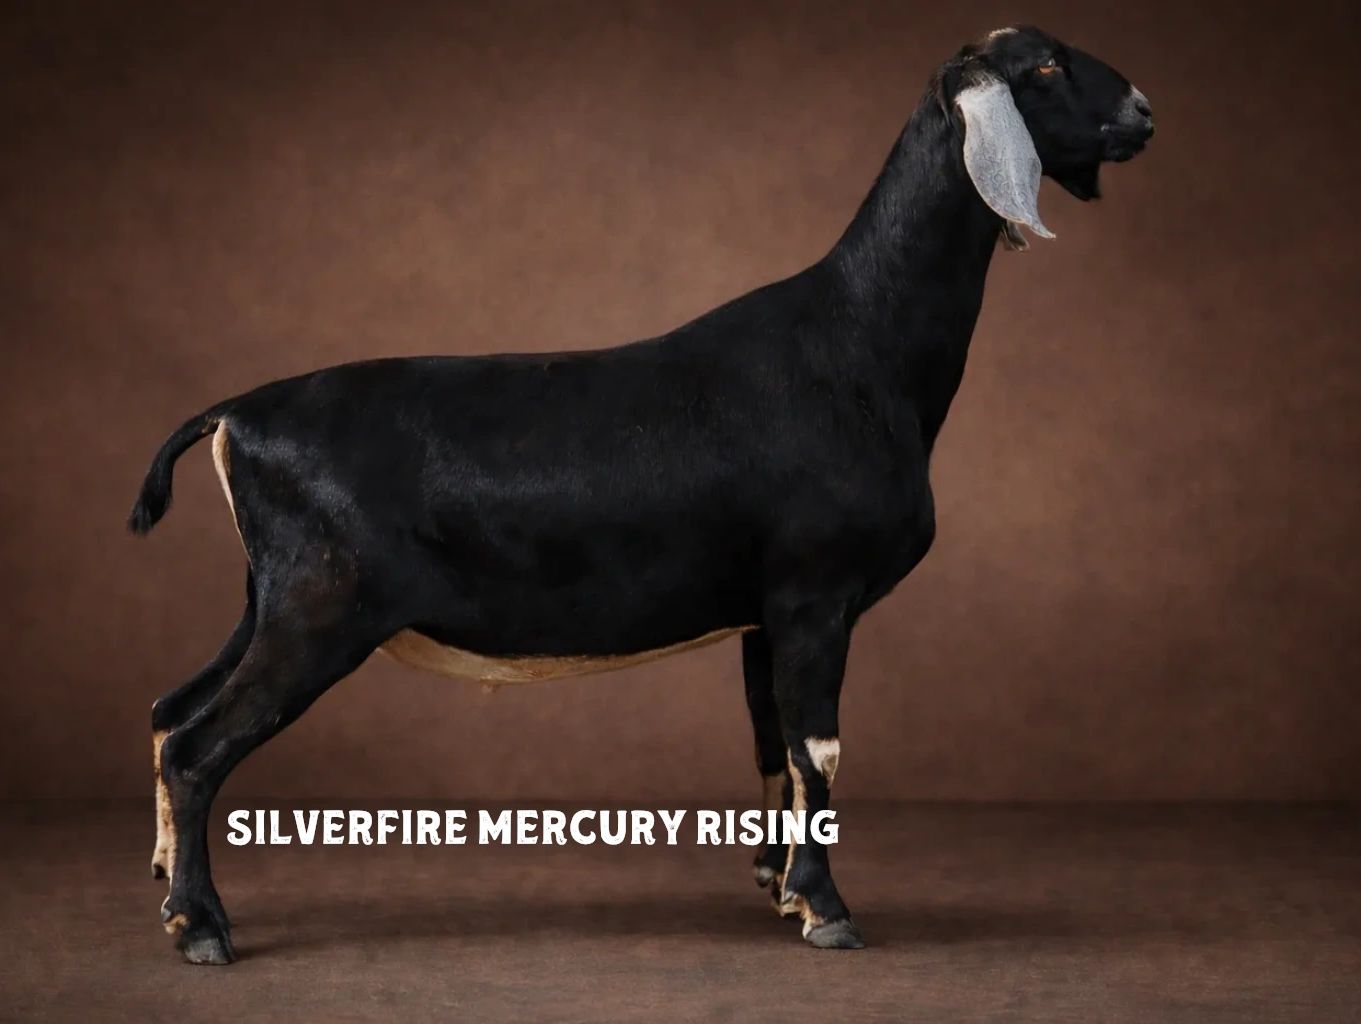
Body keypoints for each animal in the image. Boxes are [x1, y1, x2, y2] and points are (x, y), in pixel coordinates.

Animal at [131, 26, 1153, 964]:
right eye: (1046, 65)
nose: (1143, 112)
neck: (861, 344)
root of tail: (234, 415)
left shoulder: (763, 611)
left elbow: (770, 744)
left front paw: (780, 887)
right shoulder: (815, 592)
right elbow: (816, 750)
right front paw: (826, 911)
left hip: (269, 599)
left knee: (167, 711)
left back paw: (167, 889)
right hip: (319, 608)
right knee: (196, 747)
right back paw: (201, 927)